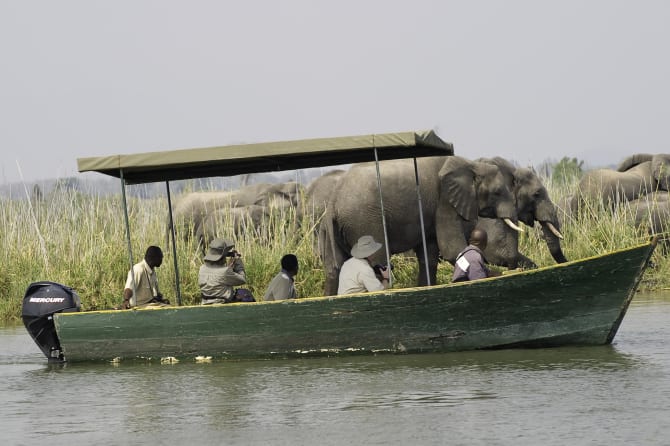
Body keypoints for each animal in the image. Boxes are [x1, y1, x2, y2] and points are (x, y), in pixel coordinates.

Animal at [318, 155, 524, 294]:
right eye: (497, 192)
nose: (513, 268)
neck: (470, 165)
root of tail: (333, 201)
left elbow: (429, 255)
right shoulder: (444, 200)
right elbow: (452, 249)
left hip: (334, 228)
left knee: (334, 268)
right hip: (365, 221)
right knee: (378, 261)